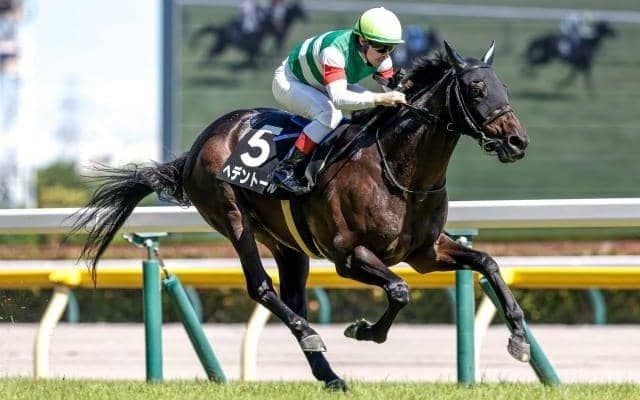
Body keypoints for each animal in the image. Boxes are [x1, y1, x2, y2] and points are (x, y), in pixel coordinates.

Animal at [71, 41, 530, 391]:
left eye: (503, 86)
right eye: (475, 88)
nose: (517, 141)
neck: (398, 171)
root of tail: (200, 143)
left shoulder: (426, 252)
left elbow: (488, 263)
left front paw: (519, 339)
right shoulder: (349, 256)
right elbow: (399, 291)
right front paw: (364, 330)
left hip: (288, 244)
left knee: (293, 297)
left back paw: (329, 375)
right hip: (232, 216)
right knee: (262, 288)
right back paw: (311, 337)